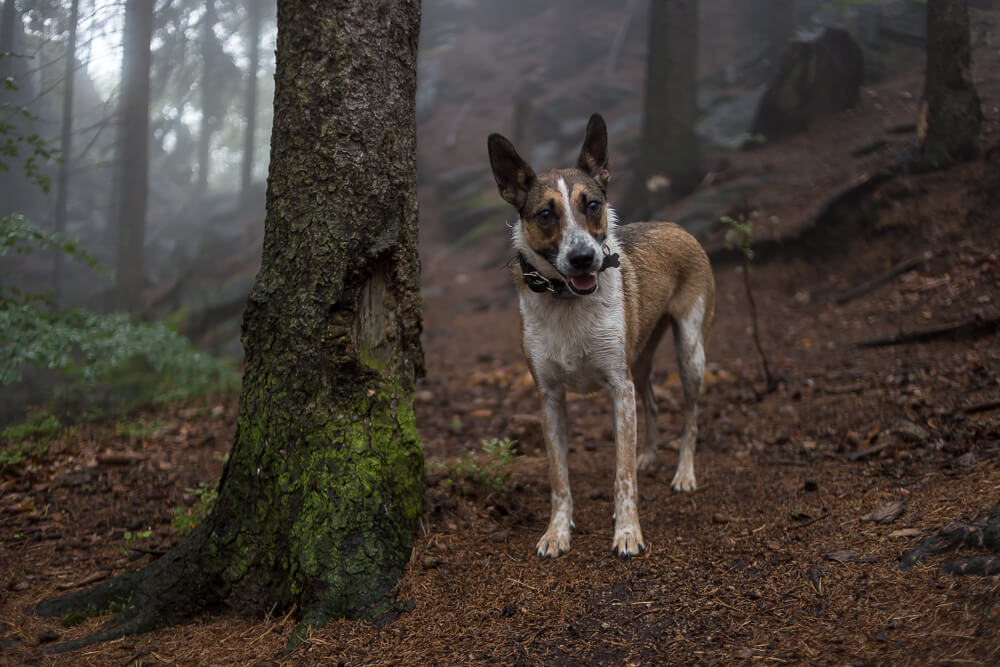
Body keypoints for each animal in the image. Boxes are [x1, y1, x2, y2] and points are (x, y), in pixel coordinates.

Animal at [488, 113, 716, 560]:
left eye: (592, 205)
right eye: (545, 214)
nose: (583, 258)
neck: (567, 301)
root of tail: (676, 224)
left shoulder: (617, 387)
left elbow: (622, 474)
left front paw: (627, 531)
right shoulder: (550, 399)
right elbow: (559, 479)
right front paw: (557, 532)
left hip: (689, 352)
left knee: (691, 415)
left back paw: (684, 472)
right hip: (639, 360)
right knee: (652, 402)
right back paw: (649, 454)